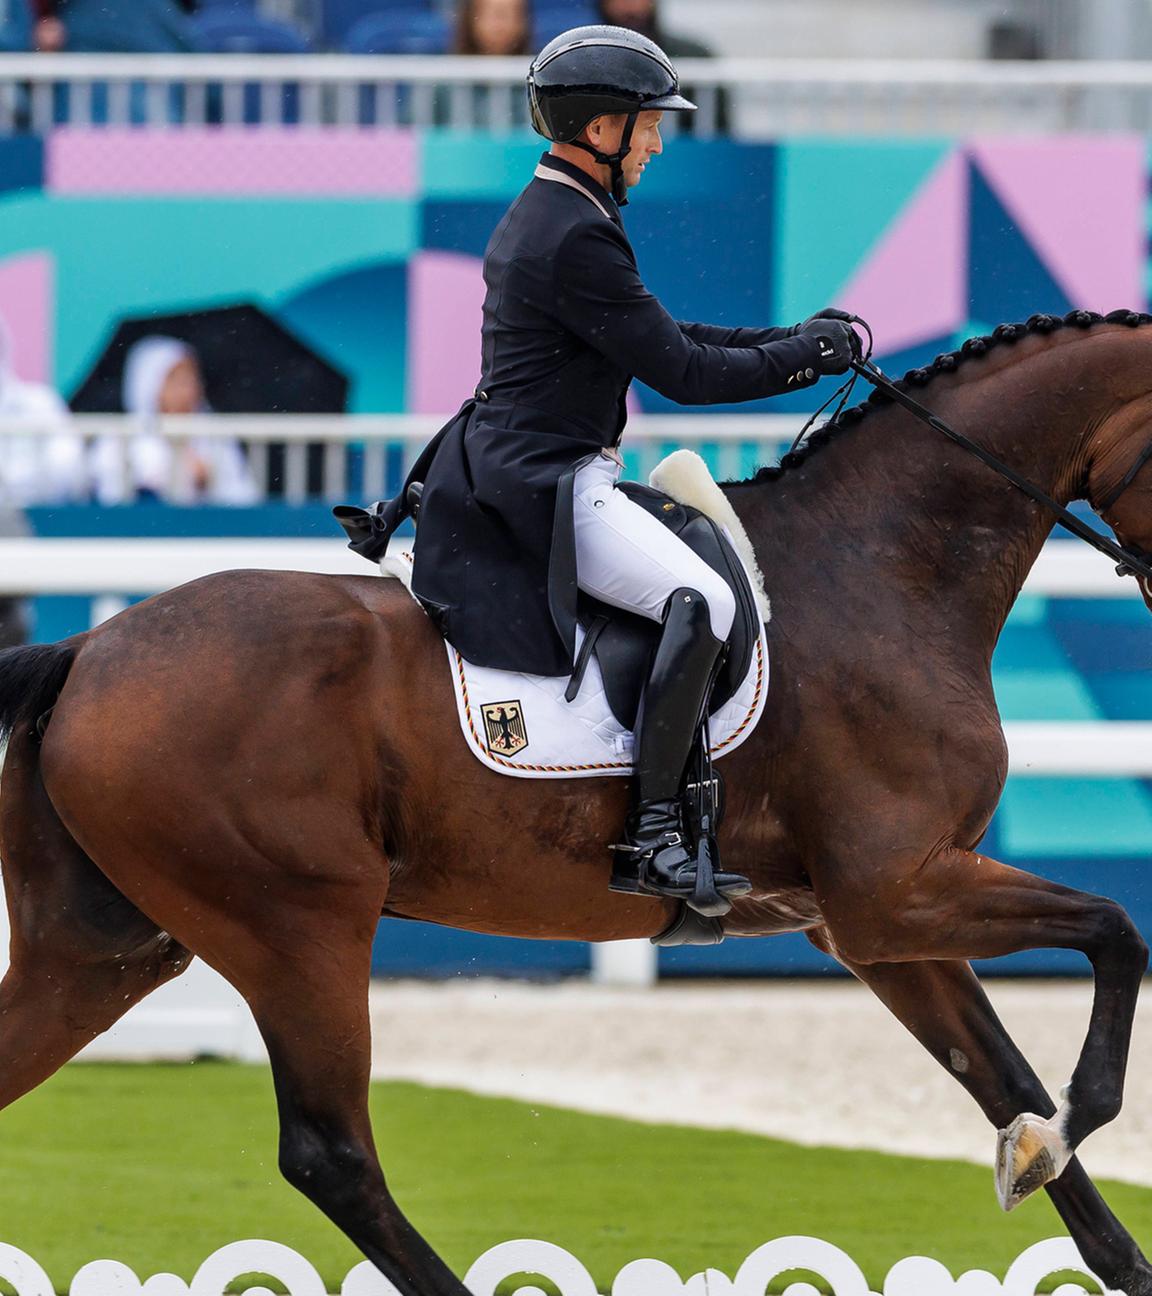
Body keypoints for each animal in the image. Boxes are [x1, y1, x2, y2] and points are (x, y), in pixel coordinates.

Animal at [2, 308, 1150, 1290]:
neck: (881, 568)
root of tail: (89, 650)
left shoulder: (874, 920)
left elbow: (1005, 1076)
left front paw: (1067, 1191)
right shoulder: (897, 891)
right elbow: (1114, 934)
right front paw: (1066, 1133)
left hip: (106, 949)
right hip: (297, 929)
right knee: (332, 1153)